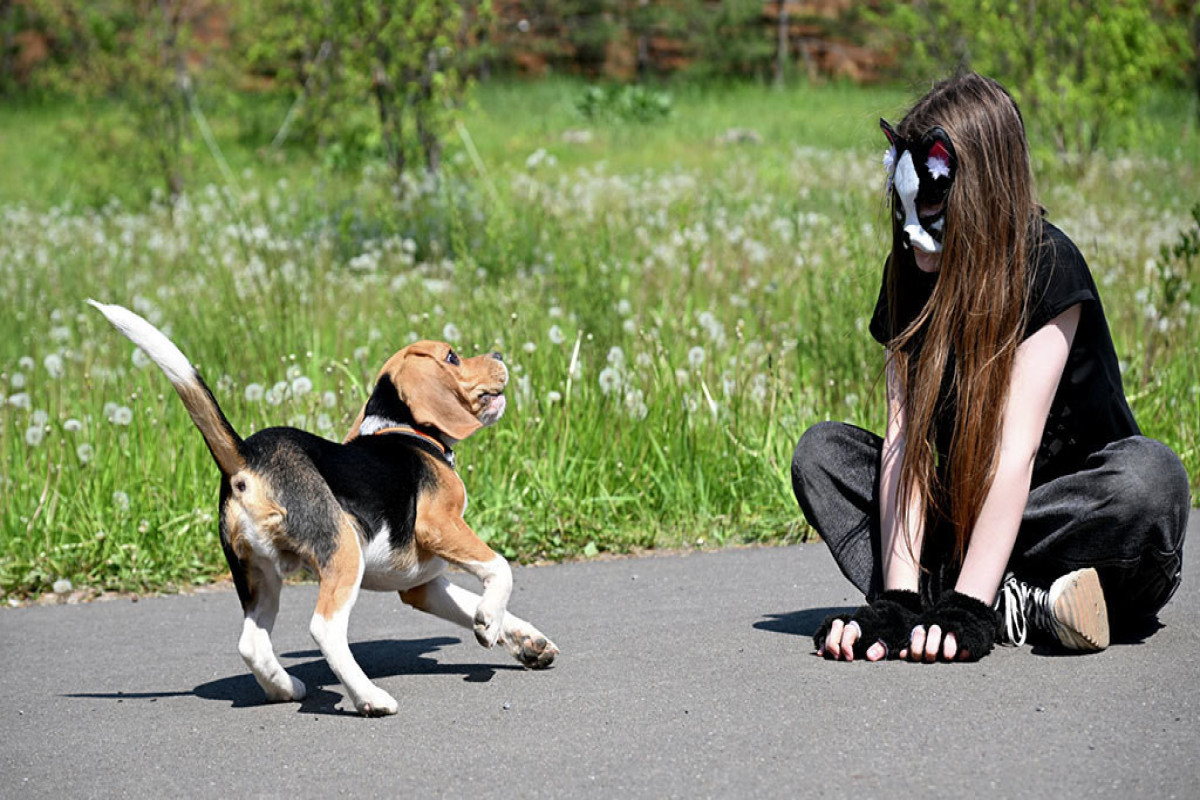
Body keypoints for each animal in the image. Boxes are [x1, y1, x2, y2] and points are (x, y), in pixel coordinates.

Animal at [88, 302, 556, 719]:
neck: (404, 429)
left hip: (258, 574)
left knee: (251, 643)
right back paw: (370, 698)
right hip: (344, 551)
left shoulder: (420, 584)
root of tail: (246, 458)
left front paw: (527, 641)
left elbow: (470, 600)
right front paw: (489, 622)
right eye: (453, 356)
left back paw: (285, 688)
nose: (499, 355)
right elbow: (499, 569)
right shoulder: (440, 525)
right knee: (325, 629)